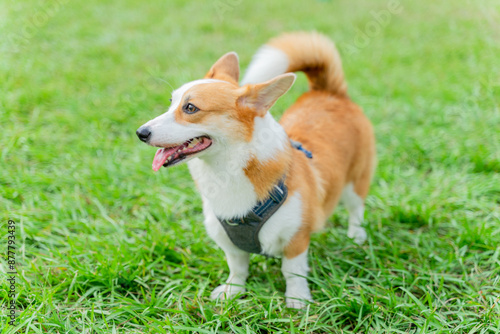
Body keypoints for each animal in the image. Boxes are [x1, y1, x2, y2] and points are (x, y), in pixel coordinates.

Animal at [137, 31, 376, 308]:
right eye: (171, 103)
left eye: (190, 108)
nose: (140, 133)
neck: (226, 169)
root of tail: (328, 92)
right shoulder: (228, 242)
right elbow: (237, 267)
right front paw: (232, 291)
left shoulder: (296, 237)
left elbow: (292, 271)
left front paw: (297, 299)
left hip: (355, 181)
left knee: (356, 208)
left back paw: (356, 236)